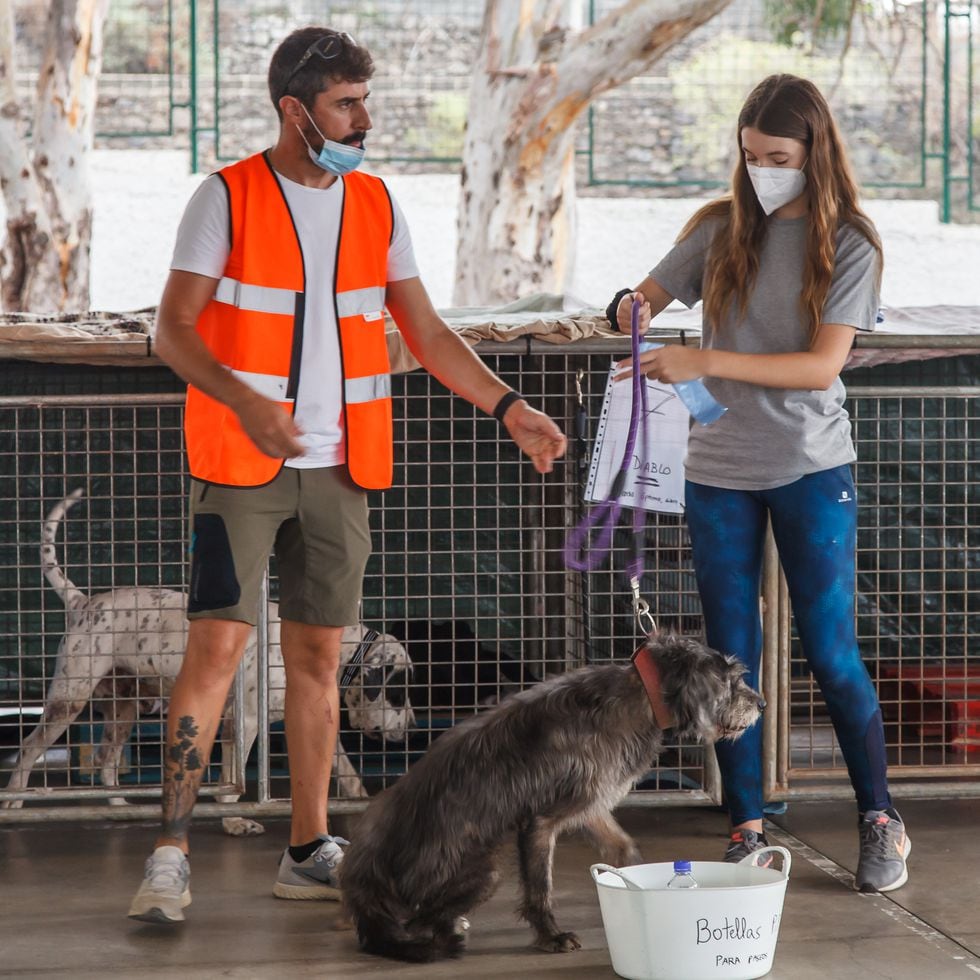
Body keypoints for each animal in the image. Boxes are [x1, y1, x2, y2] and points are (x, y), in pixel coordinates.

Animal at [0, 486, 414, 832]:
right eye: (398, 693)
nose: (411, 725)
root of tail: (83, 602)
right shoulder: (242, 722)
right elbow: (230, 781)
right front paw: (234, 821)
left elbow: (342, 765)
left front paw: (358, 801)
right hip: (68, 701)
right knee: (29, 749)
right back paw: (15, 803)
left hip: (124, 709)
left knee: (105, 759)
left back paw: (118, 806)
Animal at [340, 632, 760, 960]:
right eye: (729, 682)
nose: (762, 704)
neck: (642, 695)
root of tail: (365, 887)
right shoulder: (541, 822)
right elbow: (540, 886)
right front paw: (550, 936)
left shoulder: (590, 806)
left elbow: (624, 849)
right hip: (483, 873)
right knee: (419, 920)